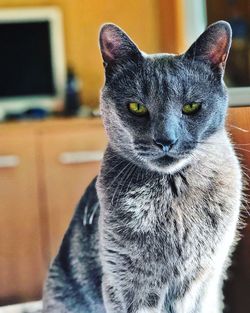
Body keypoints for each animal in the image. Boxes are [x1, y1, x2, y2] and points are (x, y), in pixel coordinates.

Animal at [42, 20, 242, 312]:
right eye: (136, 107)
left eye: (191, 106)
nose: (166, 140)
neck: (173, 194)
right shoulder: (127, 284)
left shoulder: (206, 281)